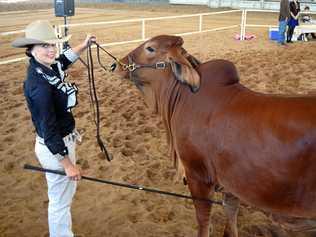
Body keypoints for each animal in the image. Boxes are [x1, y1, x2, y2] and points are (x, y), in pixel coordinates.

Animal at [115, 35, 316, 237]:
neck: (184, 96)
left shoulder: (198, 177)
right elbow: (231, 212)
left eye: (150, 48)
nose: (117, 64)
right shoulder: (232, 183)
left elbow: (203, 220)